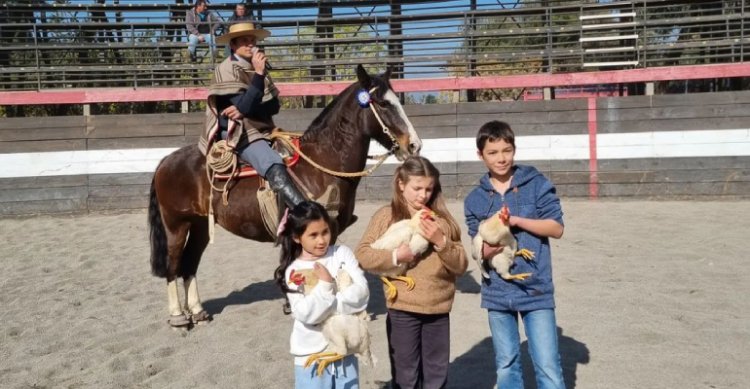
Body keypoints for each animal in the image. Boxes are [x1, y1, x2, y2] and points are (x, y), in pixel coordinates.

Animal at [148, 65, 424, 326]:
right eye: (384, 103)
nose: (414, 145)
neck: (322, 163)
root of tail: (165, 161)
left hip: (199, 226)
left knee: (190, 264)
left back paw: (198, 311)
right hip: (176, 225)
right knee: (174, 265)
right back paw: (178, 317)